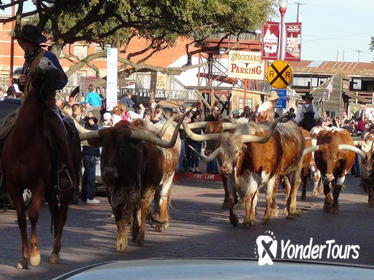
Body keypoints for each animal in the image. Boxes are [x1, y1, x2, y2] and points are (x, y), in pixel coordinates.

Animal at [1, 58, 78, 270]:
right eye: (44, 66)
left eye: (51, 65)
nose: (60, 75)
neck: (24, 142)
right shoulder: (13, 185)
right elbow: (21, 218)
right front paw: (23, 257)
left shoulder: (38, 184)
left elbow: (34, 215)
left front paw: (34, 254)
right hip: (51, 189)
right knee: (55, 212)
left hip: (65, 187)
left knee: (62, 216)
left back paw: (55, 253)